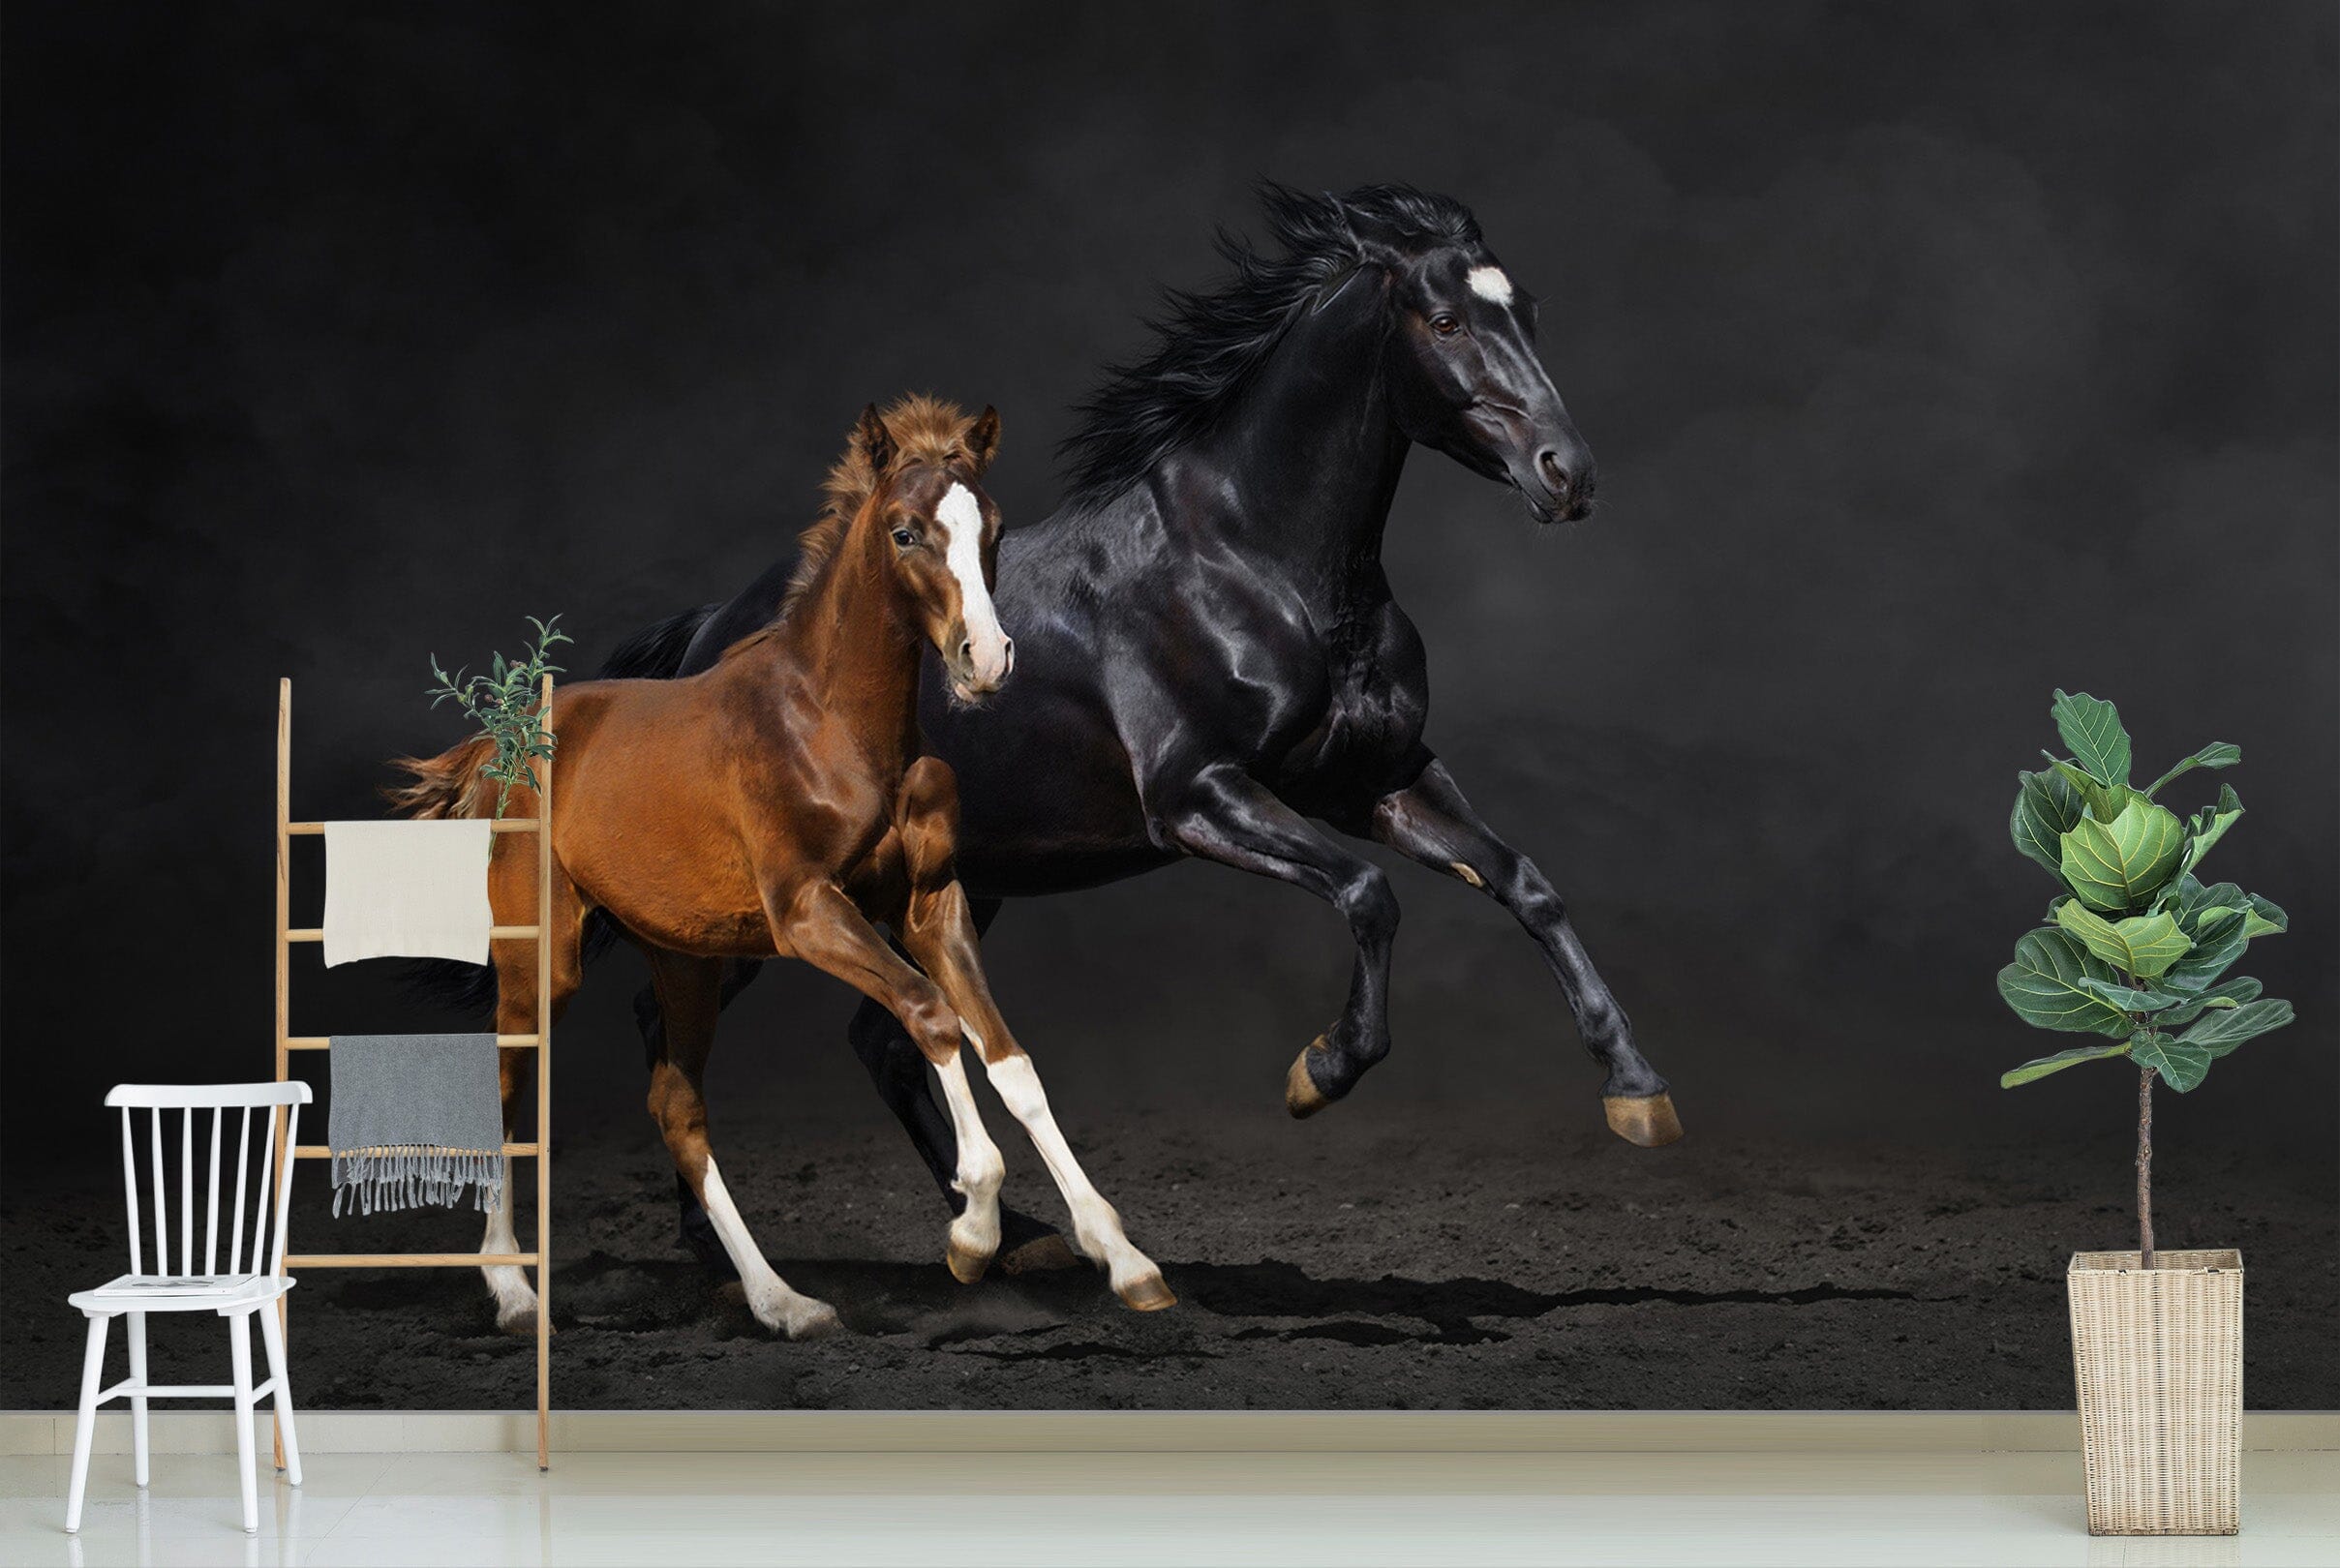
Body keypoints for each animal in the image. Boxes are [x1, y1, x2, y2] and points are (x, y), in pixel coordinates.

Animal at [390, 396, 1175, 1336]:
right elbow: (930, 1015)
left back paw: (782, 1301)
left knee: (677, 1107)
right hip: (540, 960)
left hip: (684, 960)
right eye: (905, 532)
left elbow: (1008, 1058)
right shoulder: (806, 910)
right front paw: (973, 1231)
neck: (831, 723)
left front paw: (1123, 1258)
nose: (984, 660)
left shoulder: (930, 904)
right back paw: (512, 1291)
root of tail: (498, 746)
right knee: (507, 1084)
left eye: (991, 528)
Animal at [614, 183, 1684, 1275]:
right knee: (668, 1022)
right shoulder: (1197, 798)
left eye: (1529, 313)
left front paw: (1635, 1091)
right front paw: (1320, 1071)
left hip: (962, 885)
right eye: (1446, 322)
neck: (1254, 563)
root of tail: (710, 632)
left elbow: (1525, 884)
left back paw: (1008, 1237)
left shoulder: (1373, 780)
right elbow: (1368, 894)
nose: (1567, 474)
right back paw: (711, 1243)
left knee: (881, 1044)